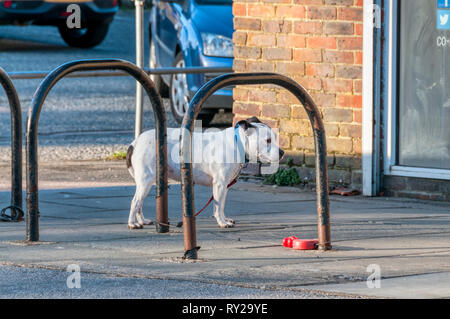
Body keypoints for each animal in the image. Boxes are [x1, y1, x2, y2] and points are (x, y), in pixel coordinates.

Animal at [125, 117, 284, 230]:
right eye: (268, 140)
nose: (282, 152)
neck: (237, 143)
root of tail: (134, 143)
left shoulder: (224, 186)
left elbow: (221, 205)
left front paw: (224, 219)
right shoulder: (219, 184)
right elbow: (218, 206)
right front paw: (222, 222)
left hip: (147, 181)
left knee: (139, 203)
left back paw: (142, 220)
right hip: (146, 179)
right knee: (135, 201)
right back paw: (132, 223)